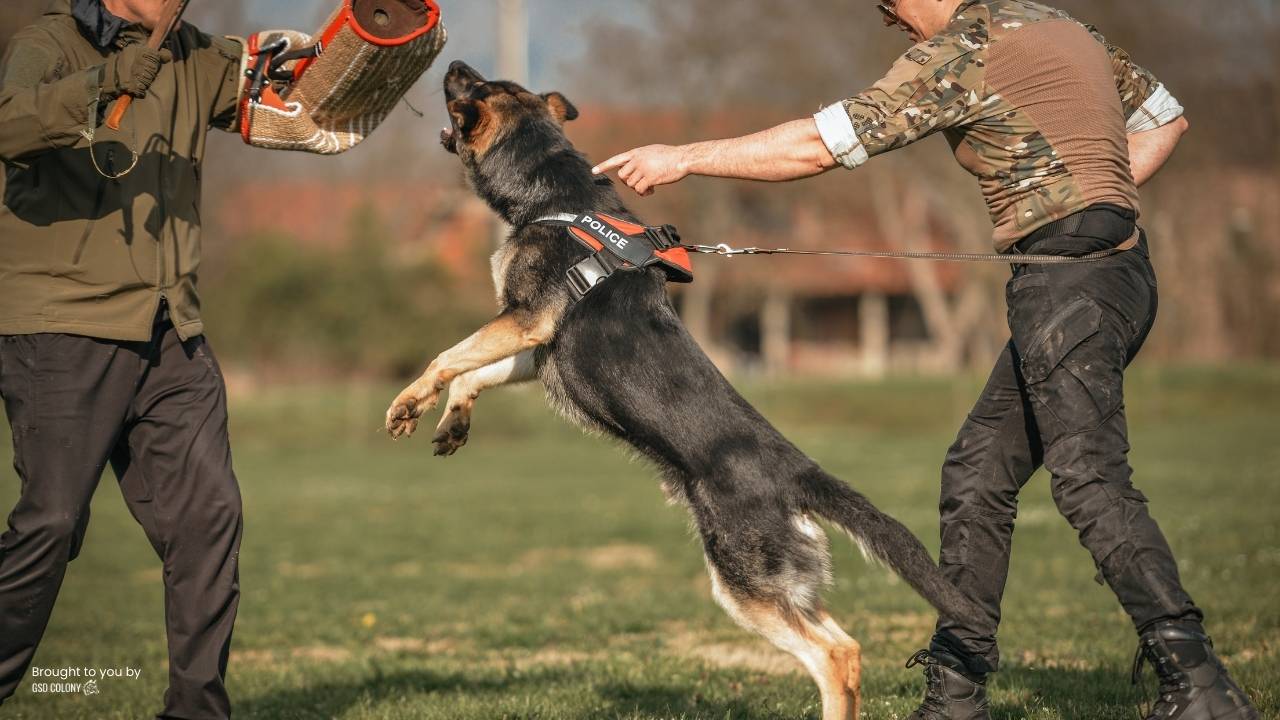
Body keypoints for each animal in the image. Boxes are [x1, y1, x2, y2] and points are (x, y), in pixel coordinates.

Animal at [384, 61, 972, 717]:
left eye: (474, 89)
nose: (453, 63)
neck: (553, 198)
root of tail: (799, 473)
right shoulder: (535, 349)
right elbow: (471, 372)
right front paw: (451, 419)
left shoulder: (525, 320)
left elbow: (445, 357)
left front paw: (407, 403)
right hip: (777, 585)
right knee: (848, 647)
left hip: (744, 583)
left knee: (835, 655)